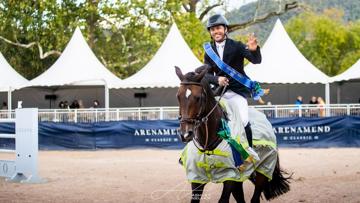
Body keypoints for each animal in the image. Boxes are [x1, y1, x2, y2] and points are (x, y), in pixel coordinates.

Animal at [176, 66, 292, 202]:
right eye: (178, 96)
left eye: (198, 97)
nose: (185, 134)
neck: (208, 142)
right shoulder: (196, 176)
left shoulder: (230, 176)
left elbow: (223, 199)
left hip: (263, 168)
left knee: (255, 197)